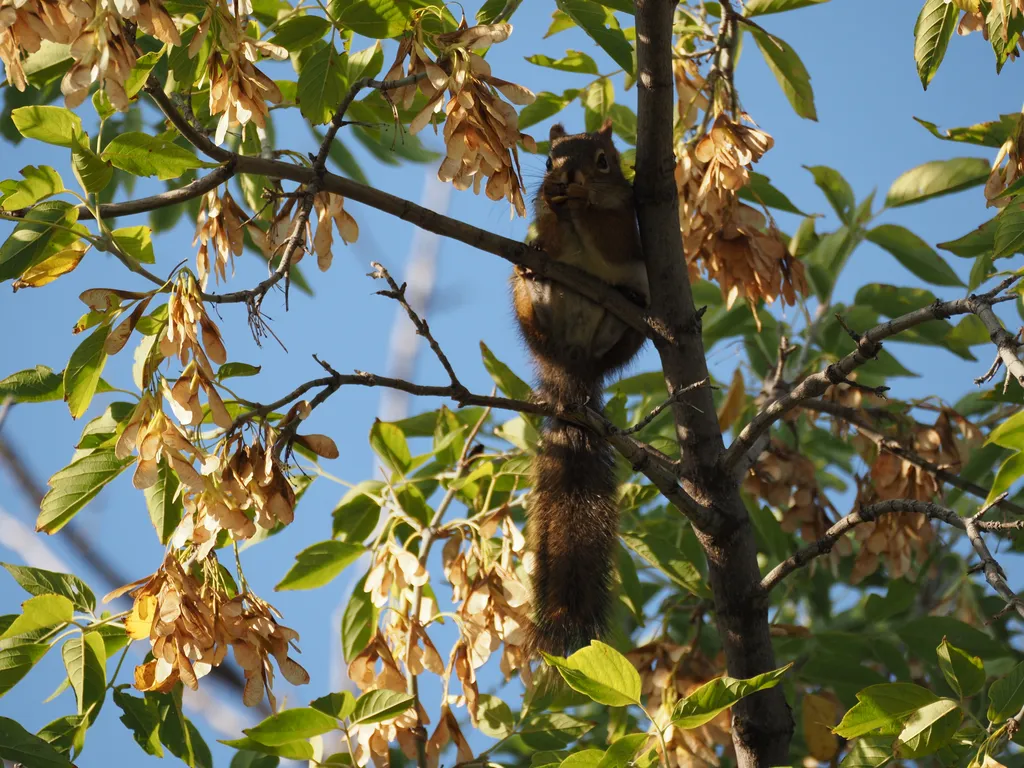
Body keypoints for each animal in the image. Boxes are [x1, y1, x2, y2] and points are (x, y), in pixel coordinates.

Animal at [512, 119, 649, 656]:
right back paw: (535, 275)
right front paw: (554, 204)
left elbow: (610, 235)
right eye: (549, 159)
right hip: (527, 306)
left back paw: (627, 301)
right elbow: (548, 230)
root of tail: (572, 367)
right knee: (535, 292)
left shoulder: (629, 224)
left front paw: (585, 201)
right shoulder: (545, 228)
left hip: (628, 323)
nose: (565, 177)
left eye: (604, 161)